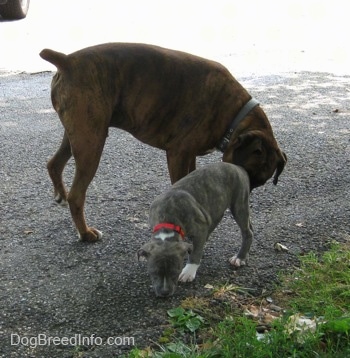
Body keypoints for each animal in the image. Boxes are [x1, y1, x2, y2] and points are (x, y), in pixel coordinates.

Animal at [40, 42, 288, 243]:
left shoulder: (189, 156)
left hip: (79, 136)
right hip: (91, 143)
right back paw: (85, 233)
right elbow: (180, 185)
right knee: (77, 194)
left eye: (259, 182)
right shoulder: (178, 154)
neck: (235, 111)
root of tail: (67, 60)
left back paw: (60, 195)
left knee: (54, 163)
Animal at [138, 162, 253, 296]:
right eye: (153, 272)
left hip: (239, 204)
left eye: (176, 272)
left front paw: (189, 271)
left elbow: (195, 252)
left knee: (247, 231)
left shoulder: (200, 229)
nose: (164, 293)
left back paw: (240, 257)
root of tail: (238, 167)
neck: (167, 223)